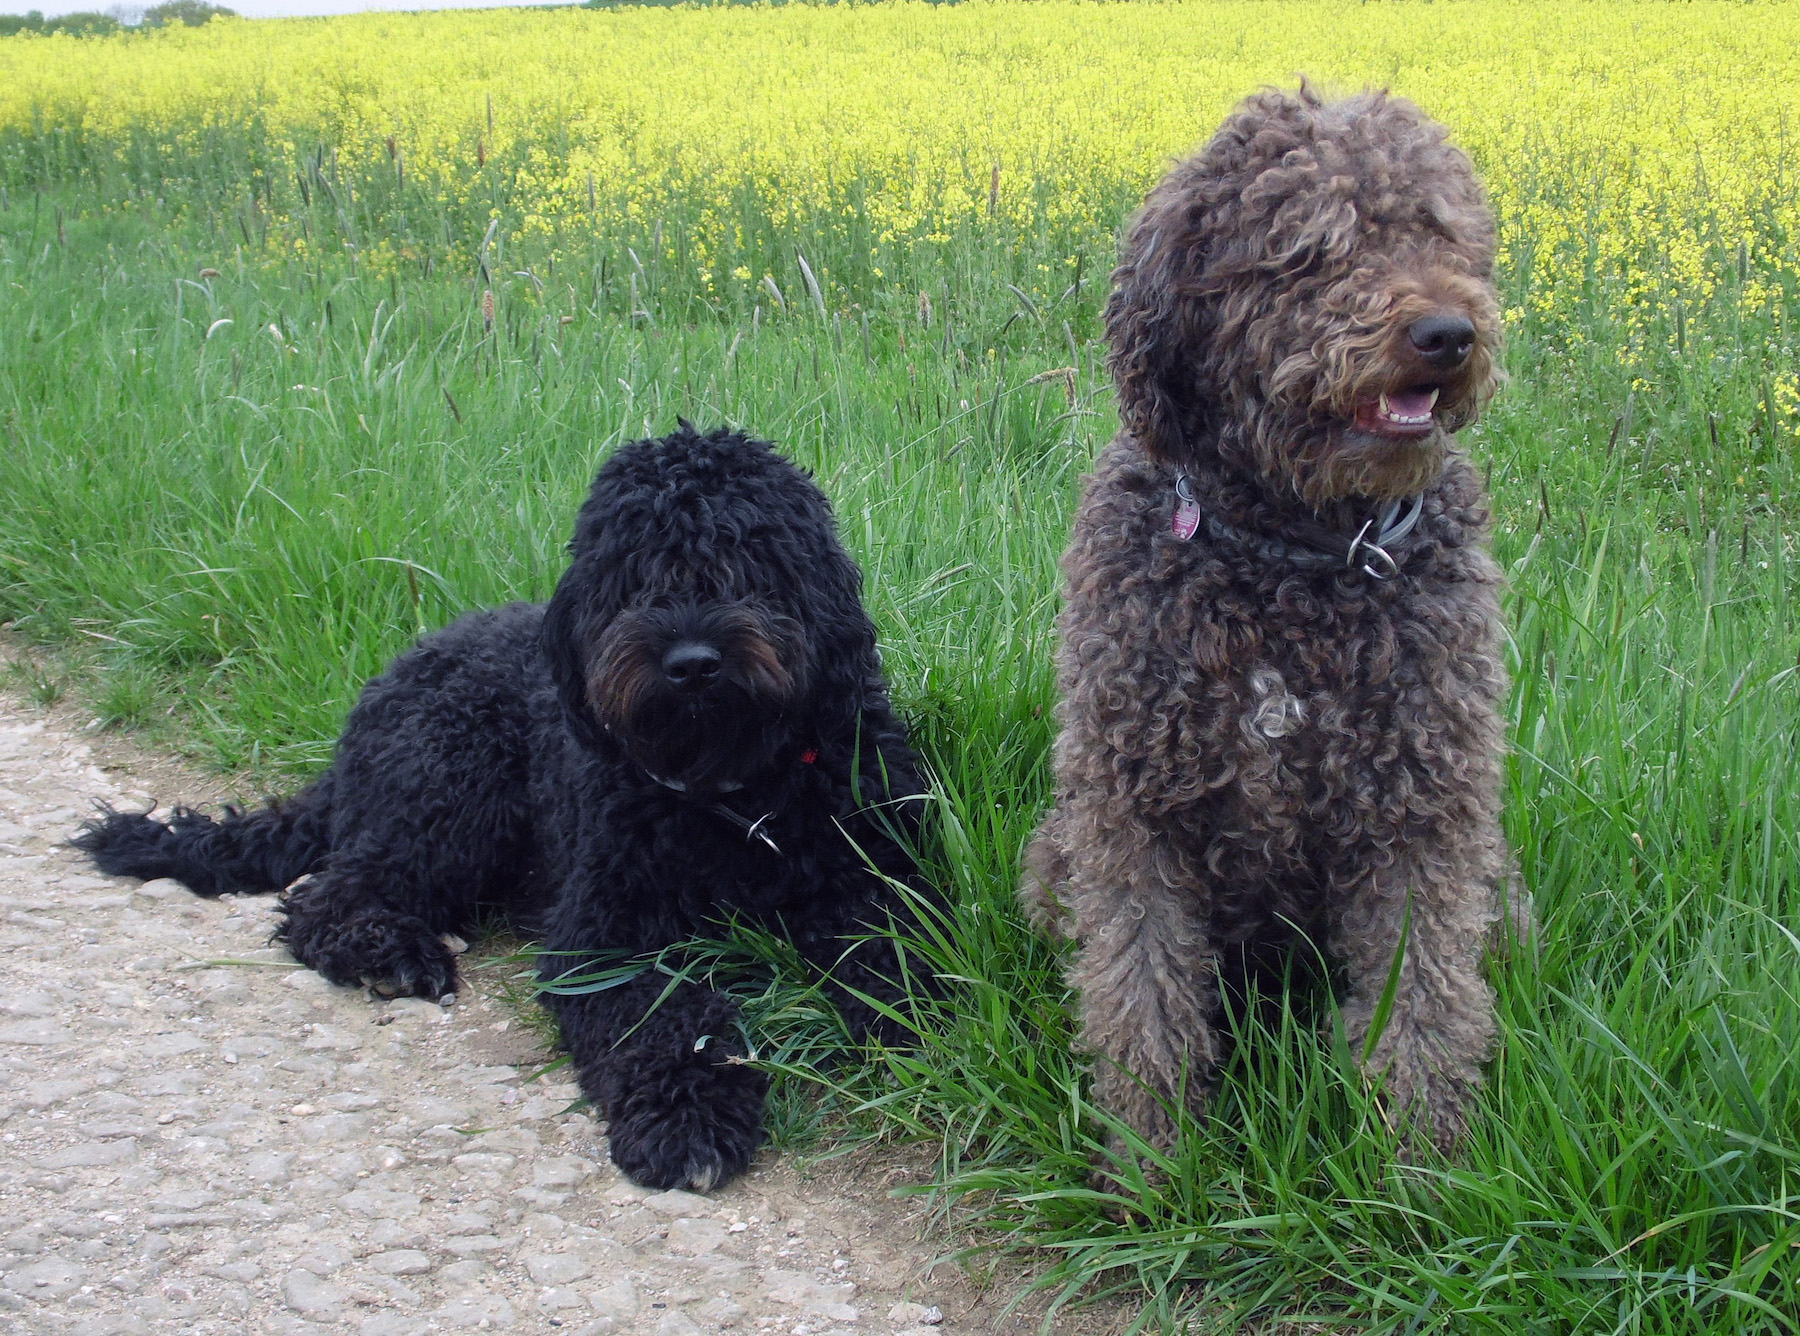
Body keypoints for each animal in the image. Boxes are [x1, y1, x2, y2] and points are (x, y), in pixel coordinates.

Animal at [77, 428, 928, 1195]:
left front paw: (912, 1033)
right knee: (329, 898)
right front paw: (685, 1118)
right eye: (633, 577)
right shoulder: (603, 941)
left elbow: (897, 963)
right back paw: (388, 951)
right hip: (450, 789)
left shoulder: (875, 887)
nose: (691, 663)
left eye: (746, 559)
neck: (735, 800)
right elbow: (664, 1023)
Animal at [1029, 86, 1533, 1159]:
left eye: (1440, 231)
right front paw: (1152, 1161)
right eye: (1308, 249)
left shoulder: (1422, 813)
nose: (1447, 333)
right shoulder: (1131, 809)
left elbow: (1424, 1005)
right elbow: (1141, 998)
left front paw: (1423, 1167)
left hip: (1501, 900)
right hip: (1055, 863)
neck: (1295, 557)